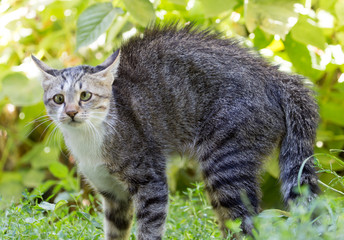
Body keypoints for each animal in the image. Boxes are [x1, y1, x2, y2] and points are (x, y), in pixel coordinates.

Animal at [32, 24, 320, 240]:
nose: (71, 112)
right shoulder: (112, 196)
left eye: (85, 96)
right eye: (58, 99)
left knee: (248, 223)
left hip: (226, 165)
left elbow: (148, 229)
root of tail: (276, 75)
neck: (88, 141)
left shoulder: (151, 182)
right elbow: (115, 232)